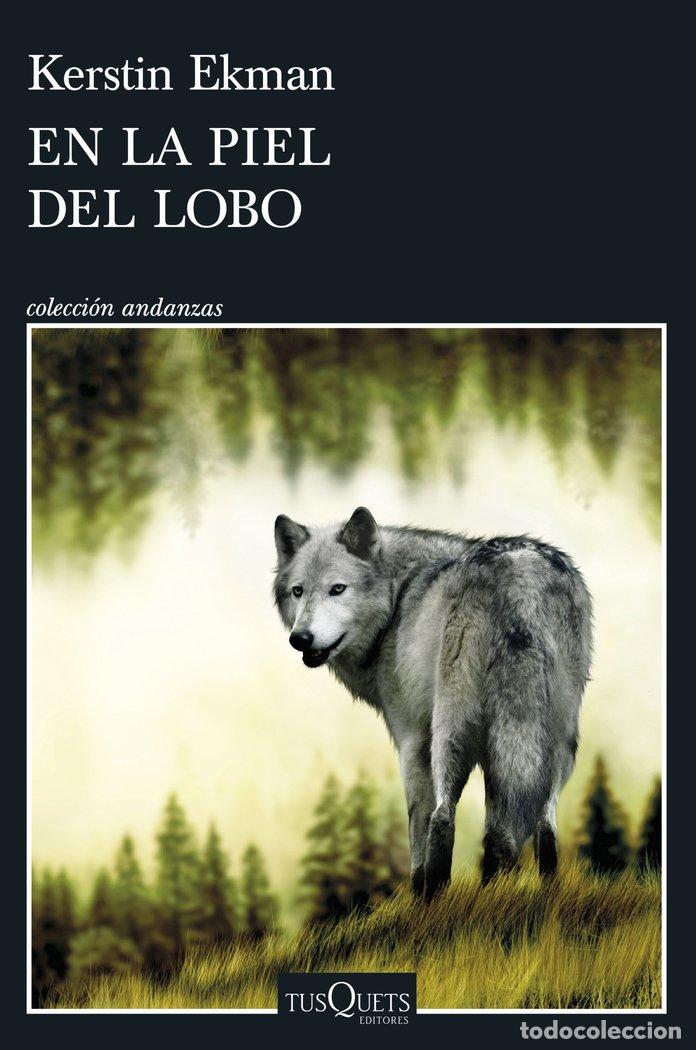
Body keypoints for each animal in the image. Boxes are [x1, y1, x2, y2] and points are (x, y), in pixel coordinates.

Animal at [273, 507, 592, 899]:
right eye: (298, 591)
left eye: (338, 589)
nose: (300, 639)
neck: (398, 599)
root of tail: (521, 576)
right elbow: (497, 821)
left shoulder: (411, 740)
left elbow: (417, 827)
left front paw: (419, 890)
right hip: (557, 738)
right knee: (542, 825)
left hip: (449, 730)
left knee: (443, 815)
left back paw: (433, 899)